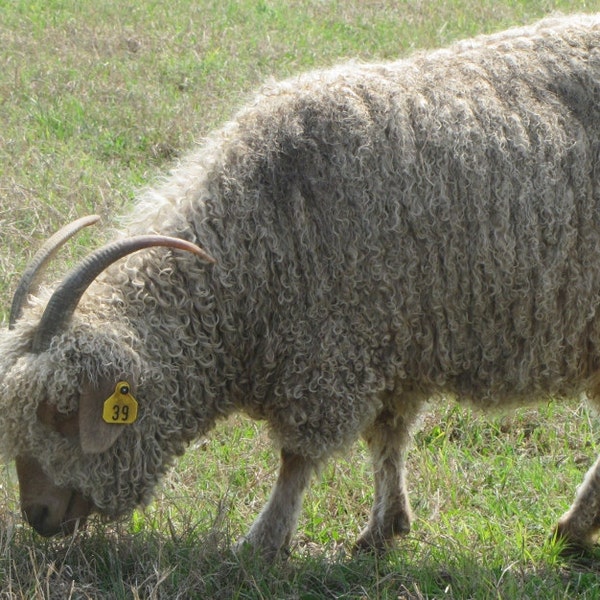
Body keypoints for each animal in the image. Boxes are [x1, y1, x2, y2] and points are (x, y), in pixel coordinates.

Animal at [1, 14, 600, 556]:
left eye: (62, 410)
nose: (37, 514)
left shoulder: (329, 346)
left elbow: (298, 459)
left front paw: (263, 542)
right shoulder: (390, 339)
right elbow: (387, 437)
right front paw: (386, 526)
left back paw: (572, 527)